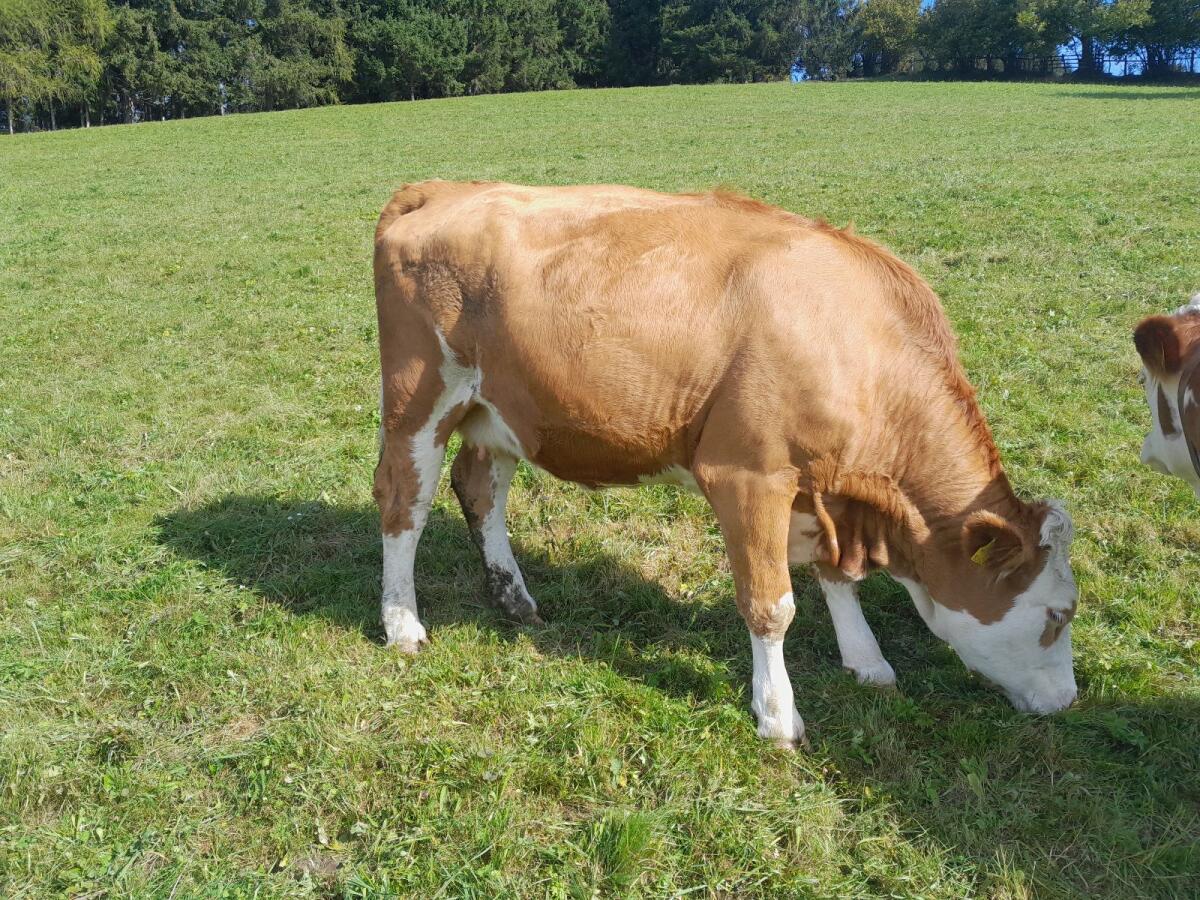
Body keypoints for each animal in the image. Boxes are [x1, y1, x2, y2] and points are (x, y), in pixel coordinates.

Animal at [372, 180, 1079, 748]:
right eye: (1056, 616)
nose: (1068, 701)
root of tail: (443, 188)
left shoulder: (824, 491)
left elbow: (837, 579)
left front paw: (867, 660)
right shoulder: (749, 477)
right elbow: (772, 604)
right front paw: (777, 716)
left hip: (499, 412)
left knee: (480, 491)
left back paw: (514, 600)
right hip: (419, 399)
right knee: (404, 502)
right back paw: (402, 622)